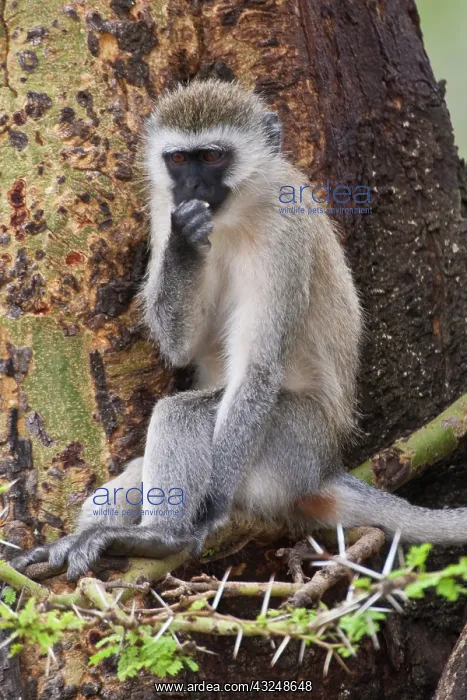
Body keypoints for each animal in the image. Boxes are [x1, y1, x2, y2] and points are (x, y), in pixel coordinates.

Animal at [12, 79, 467, 581]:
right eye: (178, 159)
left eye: (212, 157)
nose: (192, 186)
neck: (235, 211)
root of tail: (325, 467)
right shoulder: (163, 207)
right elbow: (182, 345)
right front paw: (185, 243)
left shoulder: (284, 232)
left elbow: (258, 368)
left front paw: (208, 512)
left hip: (291, 447)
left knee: (185, 413)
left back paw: (160, 537)